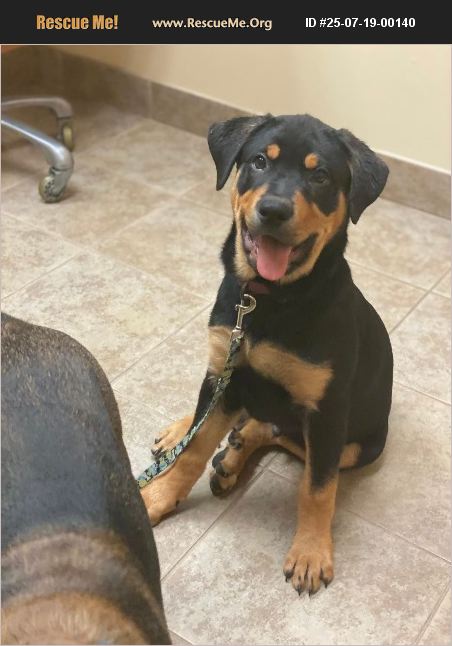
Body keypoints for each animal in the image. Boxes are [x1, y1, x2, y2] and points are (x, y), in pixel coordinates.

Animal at [141, 114, 393, 596]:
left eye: (320, 176)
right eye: (259, 161)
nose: (273, 211)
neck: (267, 301)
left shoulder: (327, 410)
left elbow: (317, 488)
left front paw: (311, 554)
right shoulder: (227, 370)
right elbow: (195, 448)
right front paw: (159, 497)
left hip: (360, 445)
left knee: (279, 435)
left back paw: (234, 455)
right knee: (237, 420)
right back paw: (204, 442)